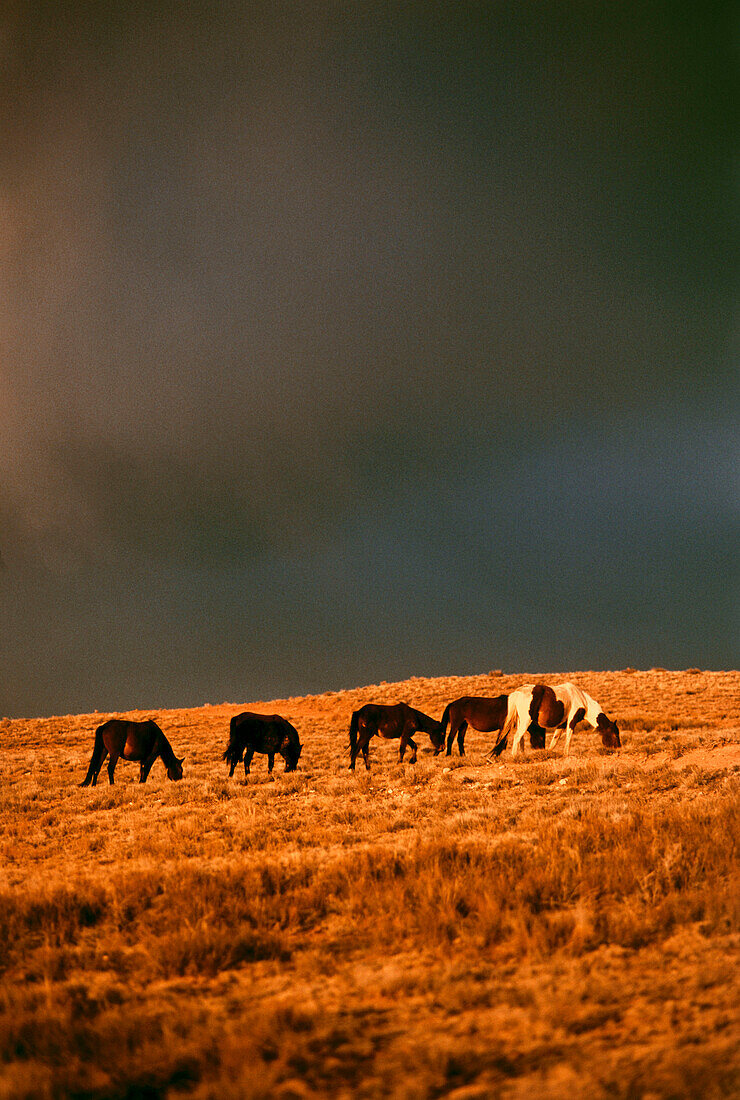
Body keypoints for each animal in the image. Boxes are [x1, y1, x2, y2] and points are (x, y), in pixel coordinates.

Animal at [492, 677, 620, 756]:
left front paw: (548, 753)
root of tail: (518, 692)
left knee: (521, 739)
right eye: (615, 734)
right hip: (525, 721)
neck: (582, 700)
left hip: (521, 721)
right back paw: (514, 756)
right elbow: (568, 737)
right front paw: (566, 754)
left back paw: (522, 756)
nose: (618, 748)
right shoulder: (571, 721)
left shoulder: (562, 724)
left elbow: (555, 740)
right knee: (517, 737)